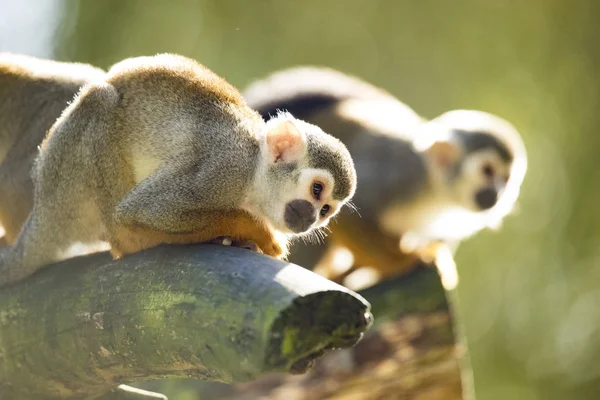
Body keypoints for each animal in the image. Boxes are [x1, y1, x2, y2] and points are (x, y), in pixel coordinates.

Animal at [241, 65, 528, 286]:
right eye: (488, 171)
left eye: (506, 179)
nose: (496, 194)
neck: (436, 191)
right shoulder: (397, 173)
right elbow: (351, 214)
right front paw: (407, 260)